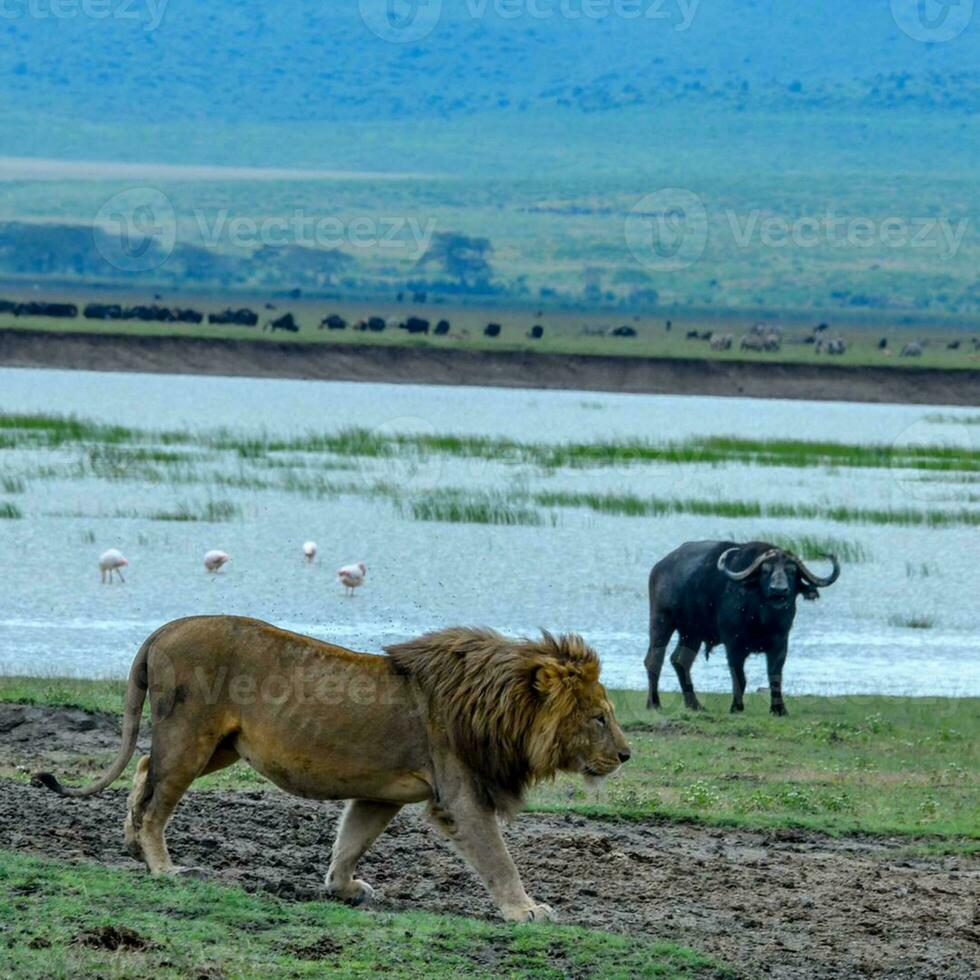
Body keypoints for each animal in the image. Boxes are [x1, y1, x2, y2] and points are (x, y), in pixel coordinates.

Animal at [34, 616, 632, 924]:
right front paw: (526, 909)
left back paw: (131, 844)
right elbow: (499, 859)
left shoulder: (382, 793)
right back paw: (164, 867)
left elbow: (352, 840)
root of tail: (164, 628)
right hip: (190, 737)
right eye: (599, 717)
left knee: (142, 768)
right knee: (158, 798)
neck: (500, 708)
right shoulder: (461, 796)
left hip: (218, 747)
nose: (627, 755)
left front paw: (343, 888)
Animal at [644, 540, 844, 716]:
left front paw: (779, 709)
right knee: (654, 660)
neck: (763, 619)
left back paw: (694, 704)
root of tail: (659, 567)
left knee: (680, 660)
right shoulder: (733, 644)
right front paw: (737, 707)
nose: (778, 591)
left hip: (691, 633)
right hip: (661, 620)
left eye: (792, 571)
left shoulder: (780, 644)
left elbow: (775, 675)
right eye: (766, 570)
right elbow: (739, 676)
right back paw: (654, 703)